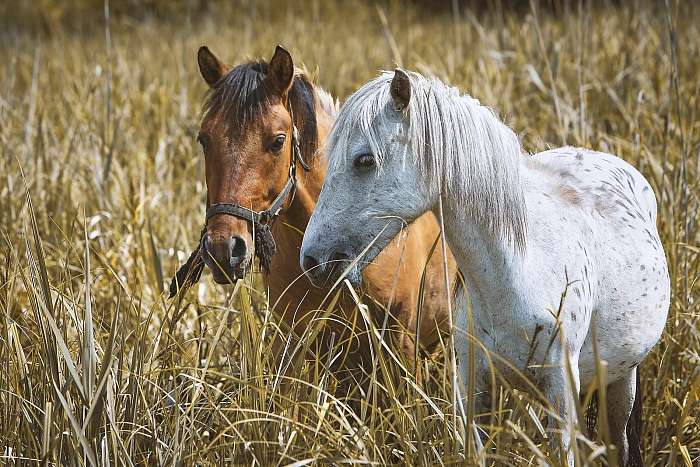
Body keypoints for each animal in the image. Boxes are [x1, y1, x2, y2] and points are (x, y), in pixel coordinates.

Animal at [298, 67, 668, 466]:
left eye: (364, 160)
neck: (516, 276)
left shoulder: (560, 392)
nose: (312, 259)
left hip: (621, 382)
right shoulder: (472, 390)